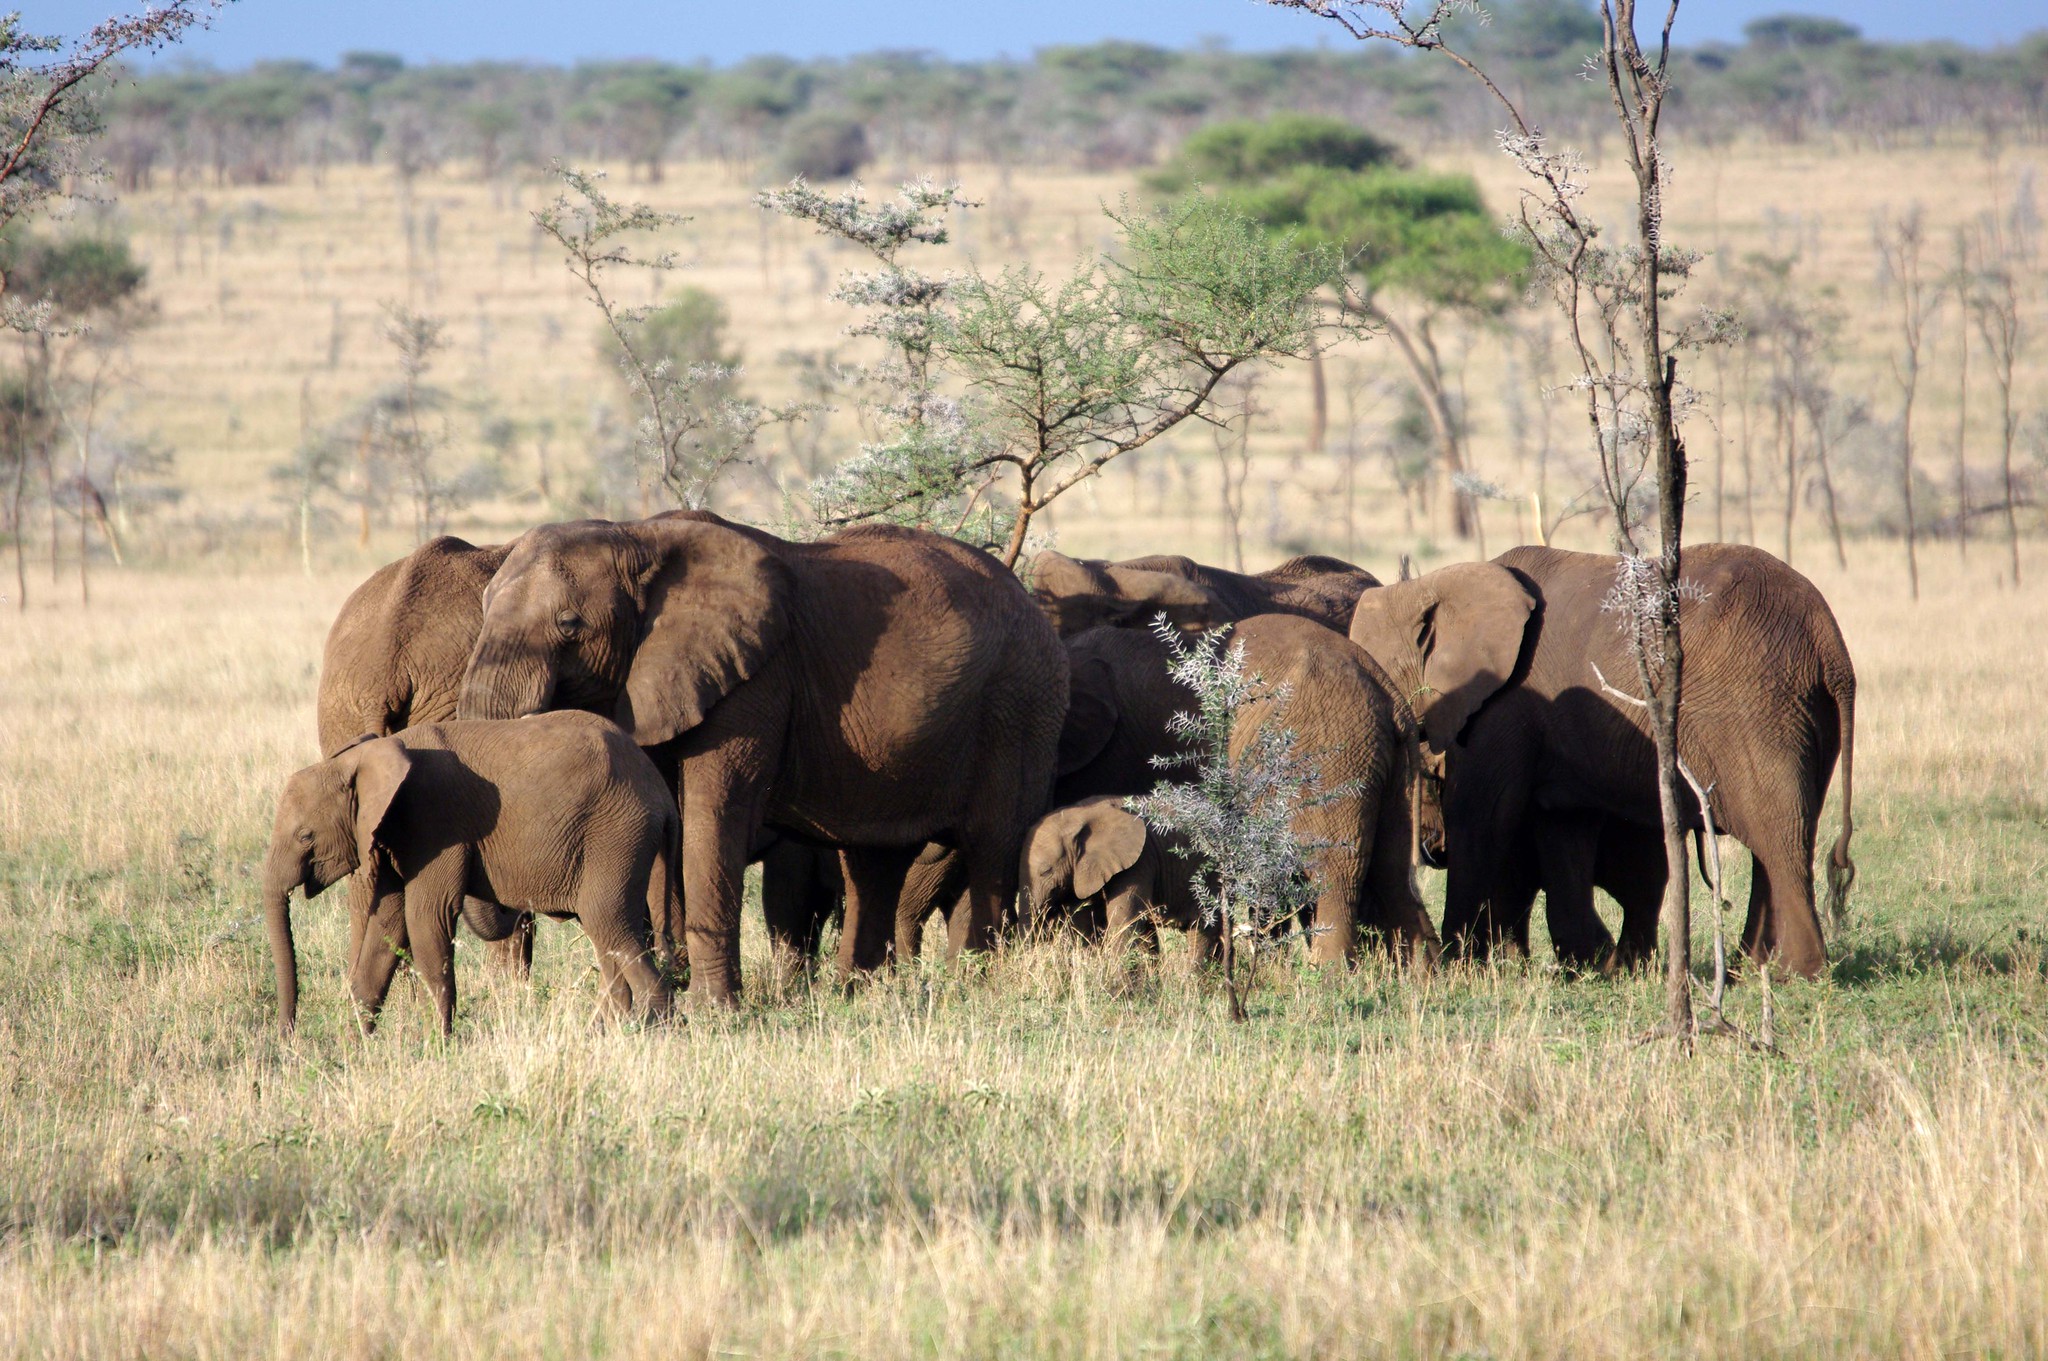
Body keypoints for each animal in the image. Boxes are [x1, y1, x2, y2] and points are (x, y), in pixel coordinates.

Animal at [261, 711, 679, 1037]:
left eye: (305, 836)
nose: (287, 1039)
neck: (367, 756)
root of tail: (662, 794)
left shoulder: (435, 824)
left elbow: (425, 918)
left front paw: (434, 1045)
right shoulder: (394, 832)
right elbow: (388, 926)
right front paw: (356, 1048)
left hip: (616, 835)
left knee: (609, 924)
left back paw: (654, 1033)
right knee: (609, 939)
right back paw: (606, 1031)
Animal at [456, 516, 1067, 1002]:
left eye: (569, 625)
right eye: (481, 609)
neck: (638, 535)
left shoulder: (754, 683)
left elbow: (710, 822)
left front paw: (712, 1012)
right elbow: (670, 824)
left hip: (1020, 705)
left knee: (991, 846)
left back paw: (976, 986)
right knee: (874, 862)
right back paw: (857, 994)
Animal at [1018, 795, 1217, 961]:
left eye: (1046, 871)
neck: (1079, 813)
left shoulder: (1139, 862)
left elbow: (1124, 922)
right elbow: (1084, 924)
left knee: (1203, 931)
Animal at [1056, 614, 1437, 964]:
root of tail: (1390, 695)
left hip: (1330, 756)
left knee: (1331, 878)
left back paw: (1328, 979)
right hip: (1388, 769)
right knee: (1395, 876)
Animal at [1350, 543, 1856, 978]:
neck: (1437, 585)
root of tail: (1830, 646)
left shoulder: (1503, 706)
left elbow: (1480, 817)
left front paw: (1458, 965)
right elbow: (1564, 826)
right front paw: (1591, 965)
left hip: (1756, 706)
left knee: (1777, 832)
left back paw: (1794, 973)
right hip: (1803, 712)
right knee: (1785, 835)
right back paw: (1746, 970)